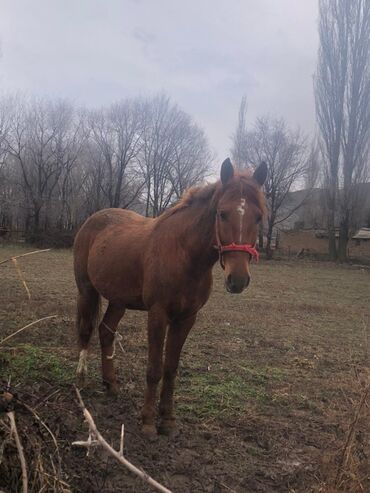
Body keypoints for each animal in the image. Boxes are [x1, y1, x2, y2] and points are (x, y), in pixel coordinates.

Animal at [73, 159, 268, 434]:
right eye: (222, 213)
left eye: (258, 216)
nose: (238, 279)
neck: (183, 253)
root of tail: (93, 220)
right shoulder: (158, 314)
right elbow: (154, 368)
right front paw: (147, 421)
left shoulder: (186, 318)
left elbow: (171, 368)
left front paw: (168, 420)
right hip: (87, 290)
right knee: (86, 330)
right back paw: (81, 379)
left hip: (119, 300)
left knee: (106, 332)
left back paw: (111, 384)